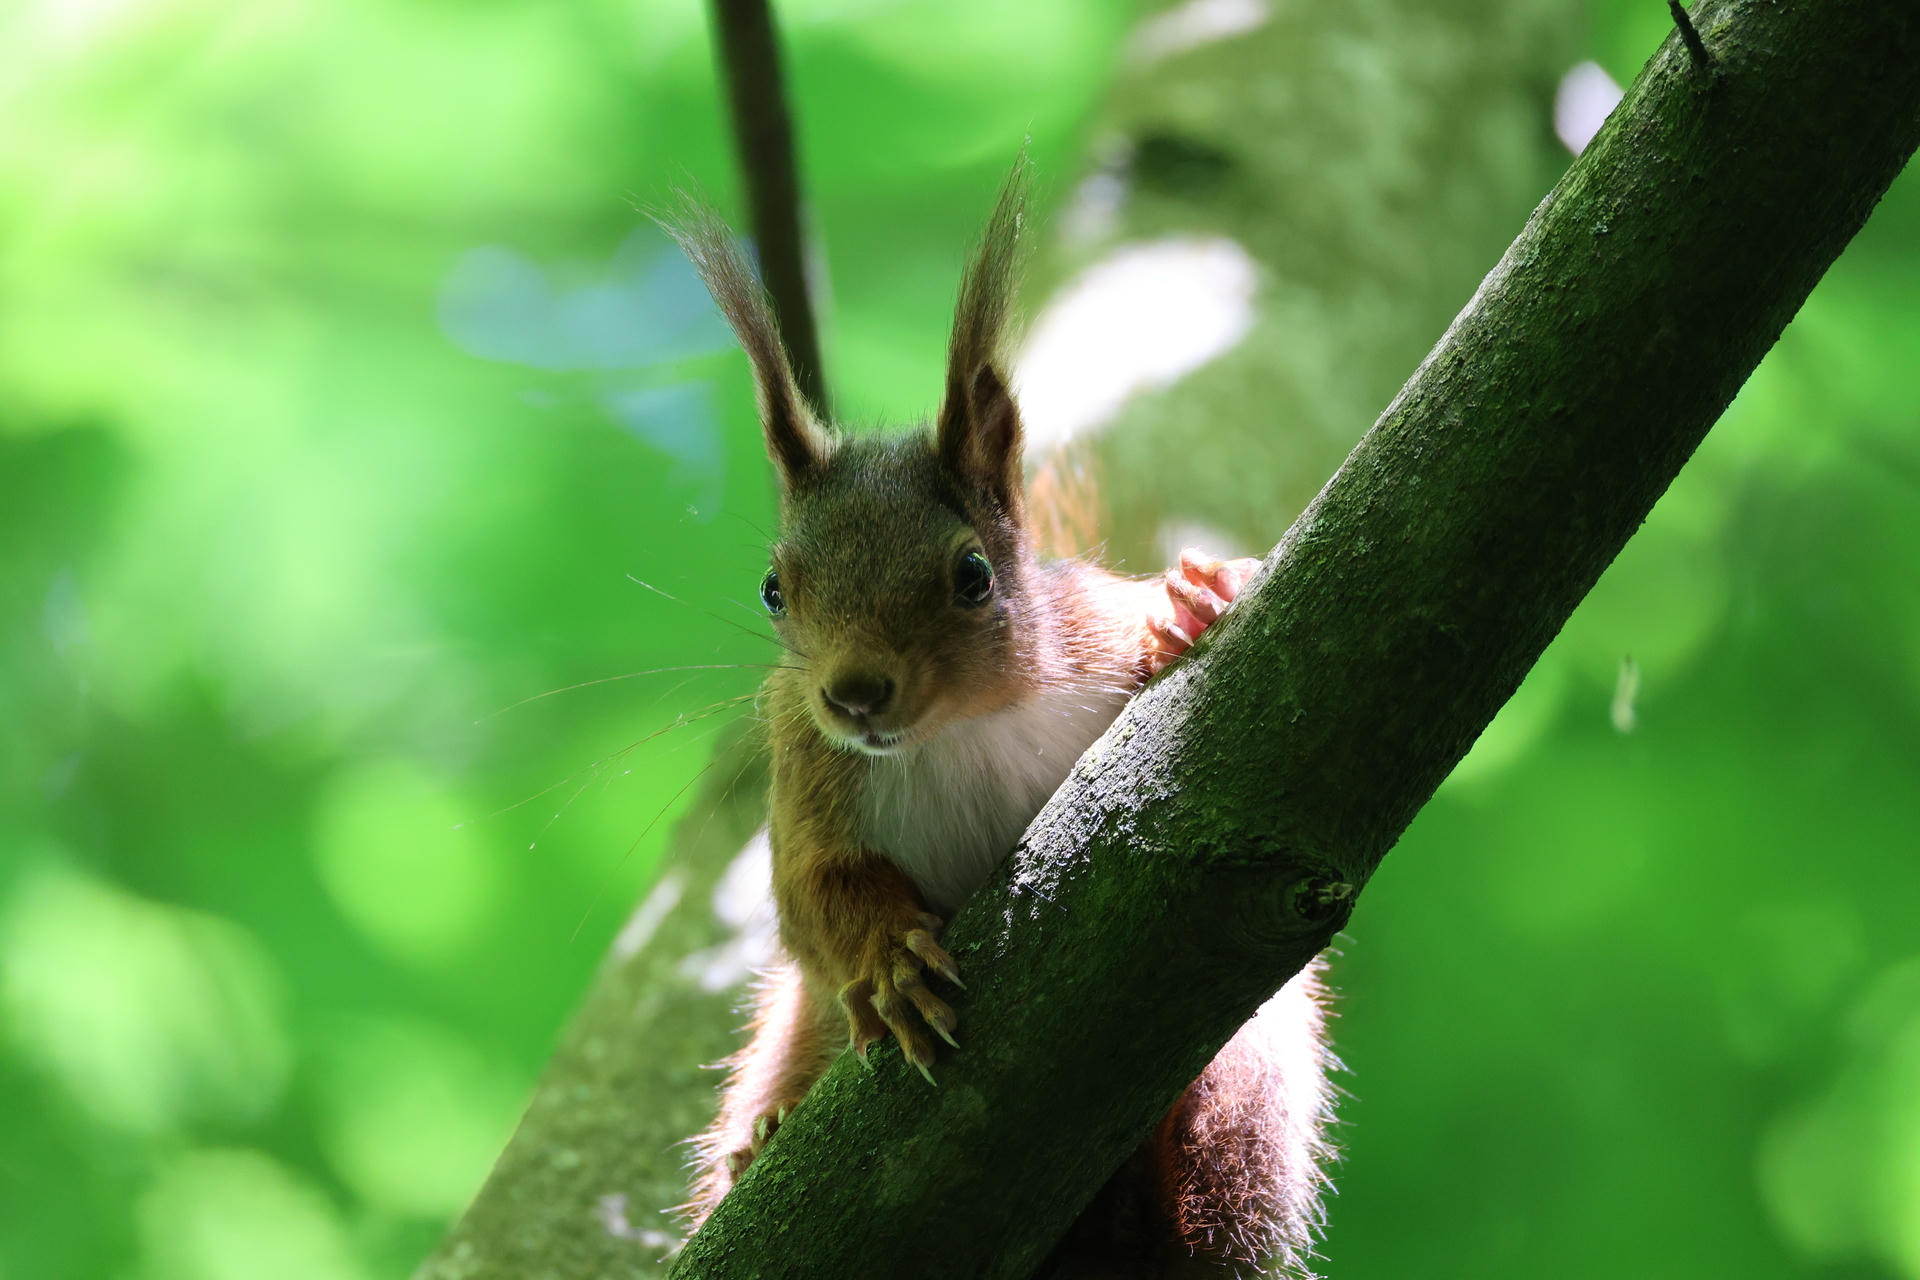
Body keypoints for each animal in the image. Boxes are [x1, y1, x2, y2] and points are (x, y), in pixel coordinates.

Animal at [668, 165, 1336, 1277]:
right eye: (773, 589)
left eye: (973, 576)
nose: (854, 694)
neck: (958, 731)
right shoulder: (806, 776)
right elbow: (813, 900)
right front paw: (889, 959)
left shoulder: (1089, 634)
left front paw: (1189, 606)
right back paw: (760, 1138)